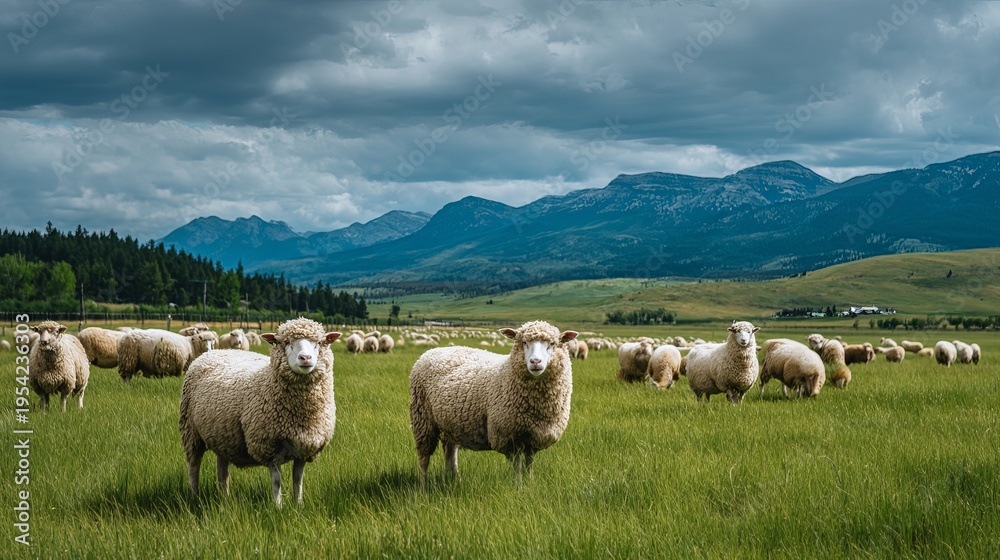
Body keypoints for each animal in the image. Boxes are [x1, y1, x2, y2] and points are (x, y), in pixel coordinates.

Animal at [180, 317, 341, 507]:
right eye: (286, 342)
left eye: (319, 343)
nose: (305, 358)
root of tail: (215, 352)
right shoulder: (268, 445)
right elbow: (277, 481)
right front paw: (278, 507)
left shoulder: (305, 446)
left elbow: (298, 479)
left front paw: (298, 505)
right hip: (190, 430)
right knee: (193, 466)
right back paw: (194, 496)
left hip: (222, 435)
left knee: (222, 469)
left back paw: (225, 498)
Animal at [409, 320, 577, 487]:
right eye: (523, 342)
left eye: (552, 343)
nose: (535, 361)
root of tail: (433, 350)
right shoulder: (508, 436)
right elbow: (517, 466)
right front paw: (518, 486)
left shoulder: (534, 436)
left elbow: (529, 463)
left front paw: (529, 484)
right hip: (422, 418)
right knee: (423, 457)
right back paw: (423, 485)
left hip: (450, 424)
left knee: (449, 451)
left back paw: (454, 480)